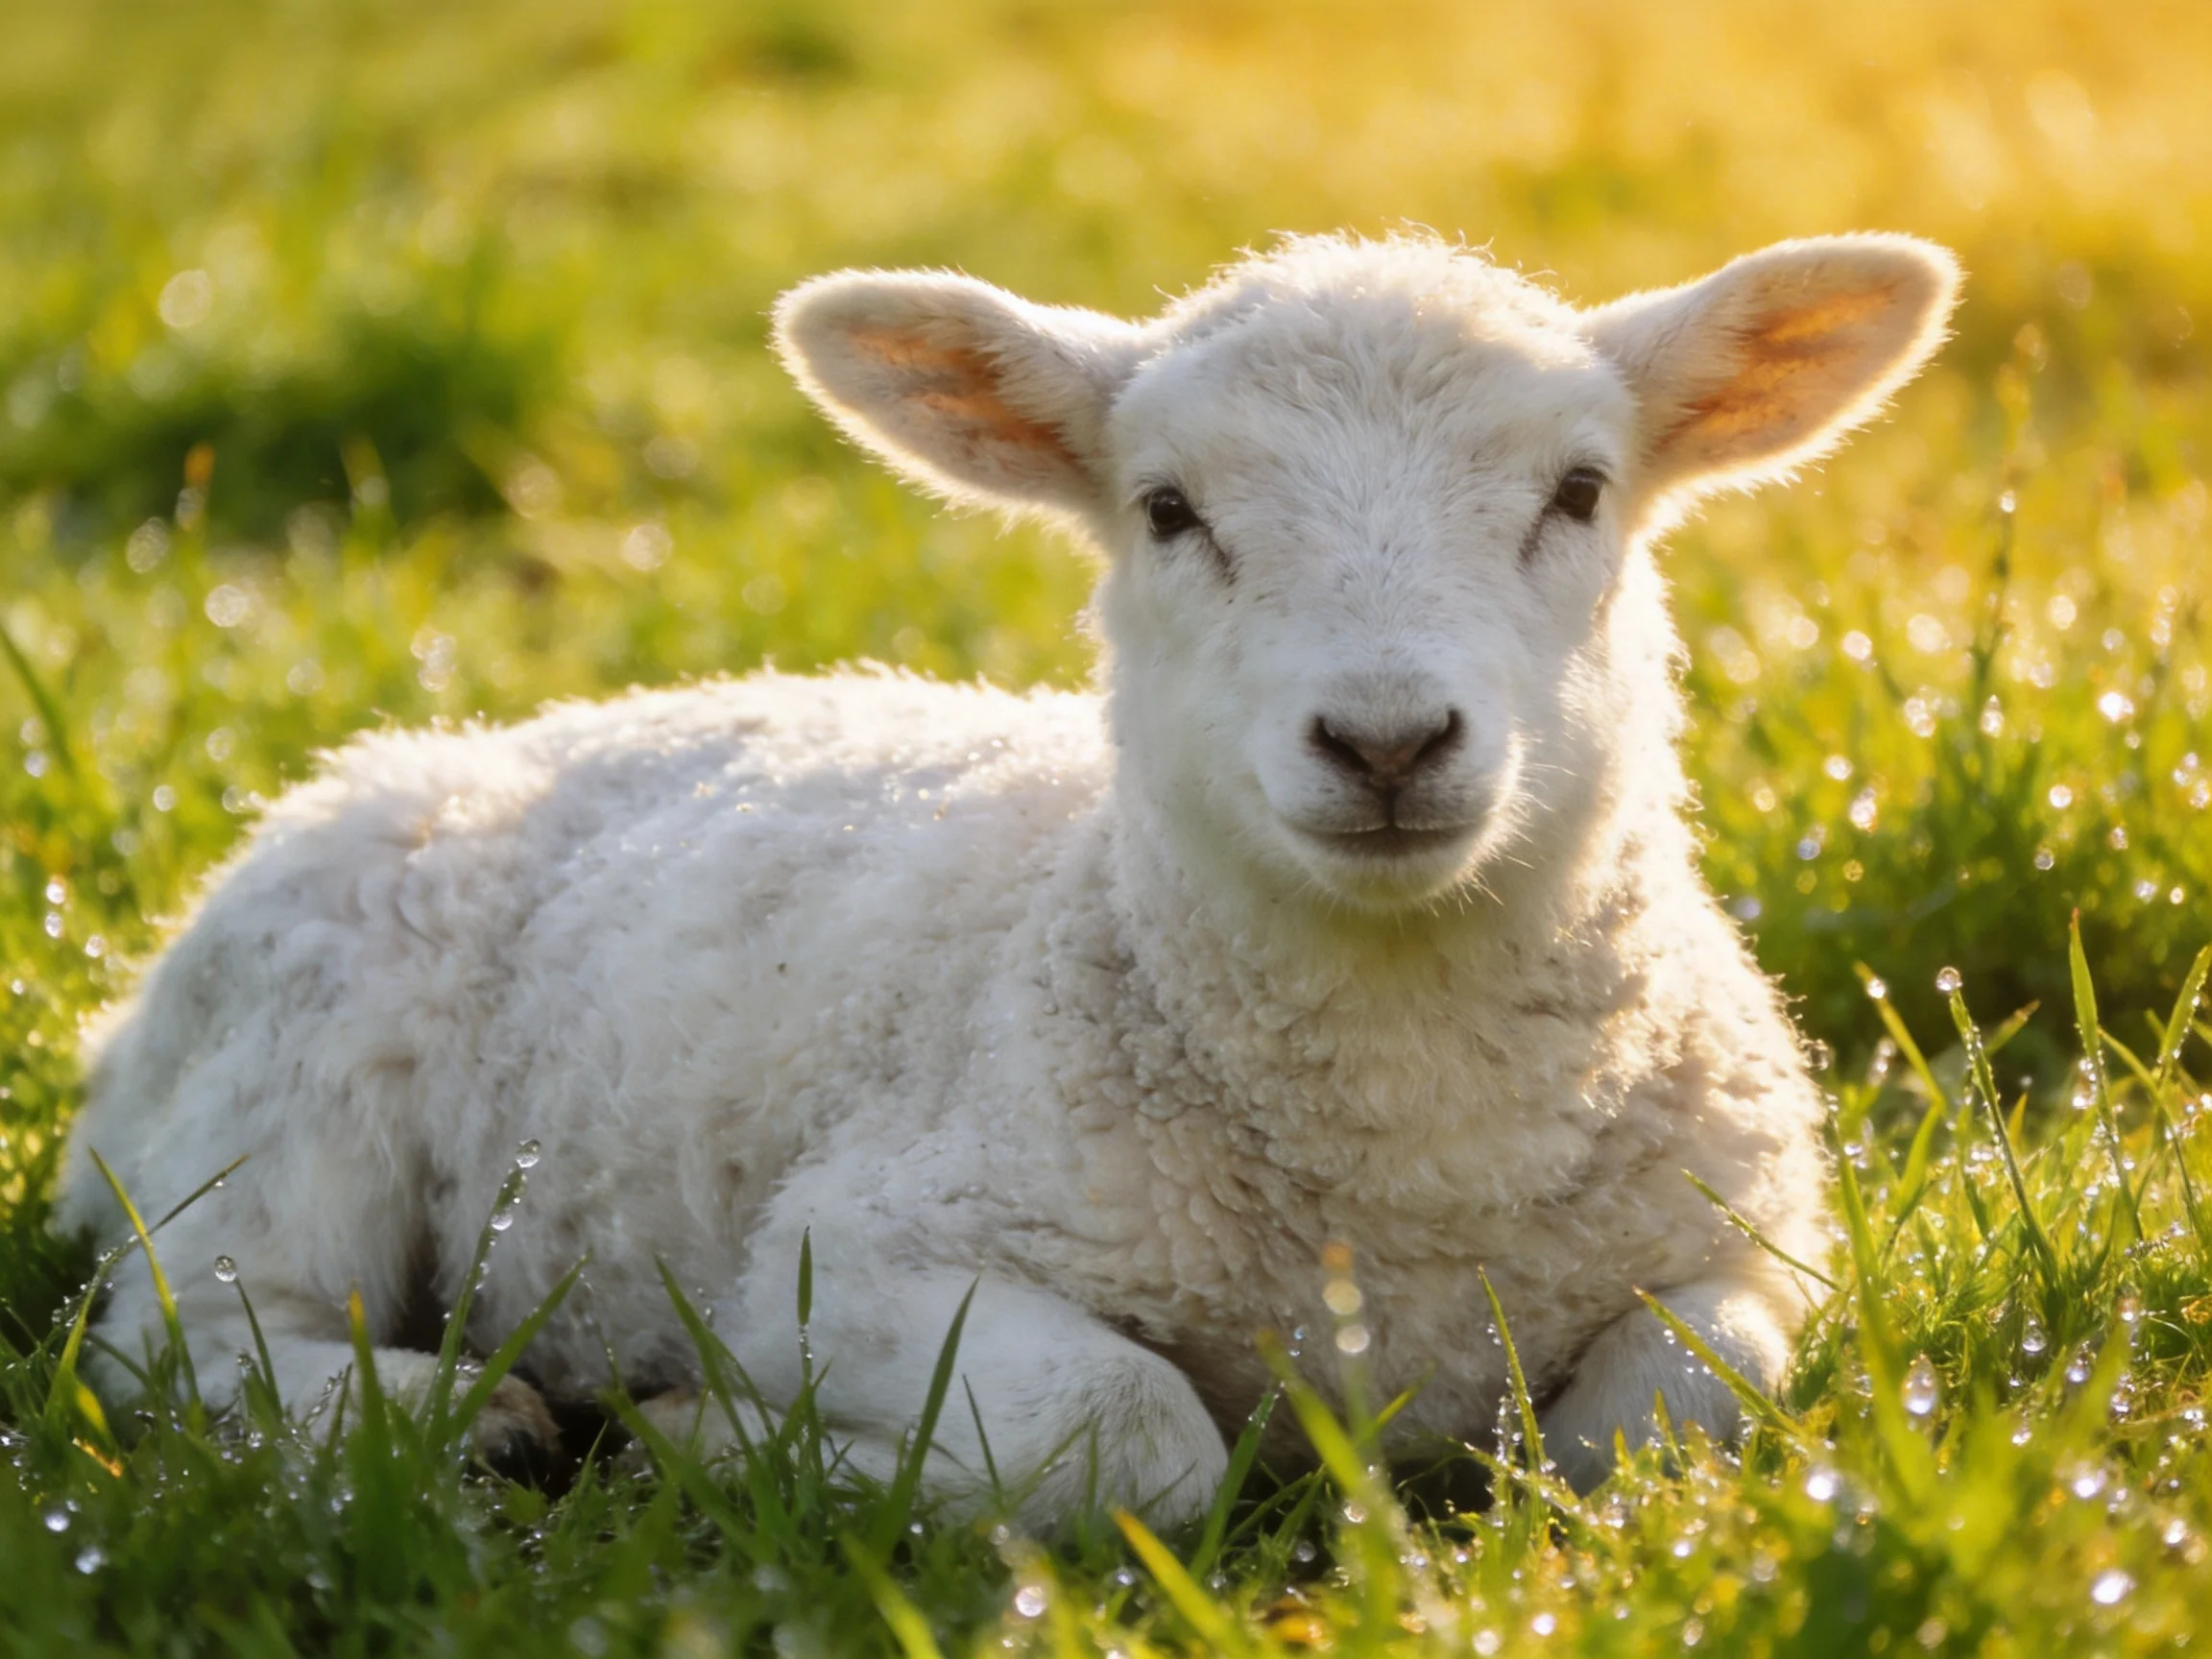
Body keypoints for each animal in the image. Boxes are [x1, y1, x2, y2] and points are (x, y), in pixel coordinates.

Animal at [57, 230, 1960, 1523]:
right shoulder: (851, 1252)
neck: (1406, 1168)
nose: (1385, 739)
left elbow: (1656, 1425)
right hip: (284, 1093)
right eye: (1169, 510)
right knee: (183, 1331)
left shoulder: (1751, 1240)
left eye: (1577, 489)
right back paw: (448, 1417)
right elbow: (1143, 1439)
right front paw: (731, 1442)